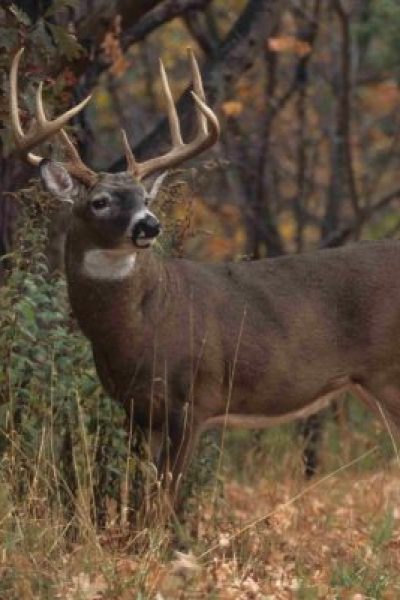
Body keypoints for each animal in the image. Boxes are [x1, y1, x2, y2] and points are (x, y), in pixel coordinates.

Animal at [7, 45, 400, 506]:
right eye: (100, 201)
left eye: (144, 198)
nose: (149, 225)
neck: (140, 329)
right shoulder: (134, 408)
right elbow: (139, 495)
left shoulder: (194, 399)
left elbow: (161, 501)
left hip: (389, 374)